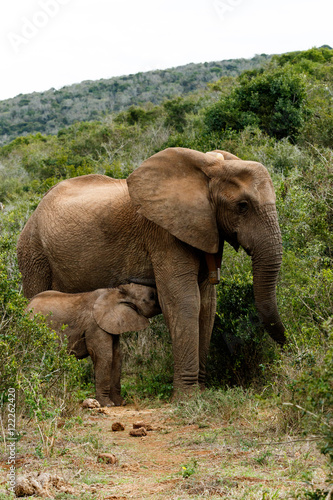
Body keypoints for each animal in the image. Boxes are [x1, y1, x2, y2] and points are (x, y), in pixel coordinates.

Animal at [16, 146, 284, 392]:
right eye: (243, 206)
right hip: (33, 253)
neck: (208, 168)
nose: (285, 345)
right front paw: (187, 398)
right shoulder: (163, 234)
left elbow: (207, 305)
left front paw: (201, 391)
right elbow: (183, 300)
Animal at [27, 286, 160, 406]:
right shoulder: (95, 325)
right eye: (152, 296)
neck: (117, 291)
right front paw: (107, 404)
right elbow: (104, 356)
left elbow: (116, 357)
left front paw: (121, 403)